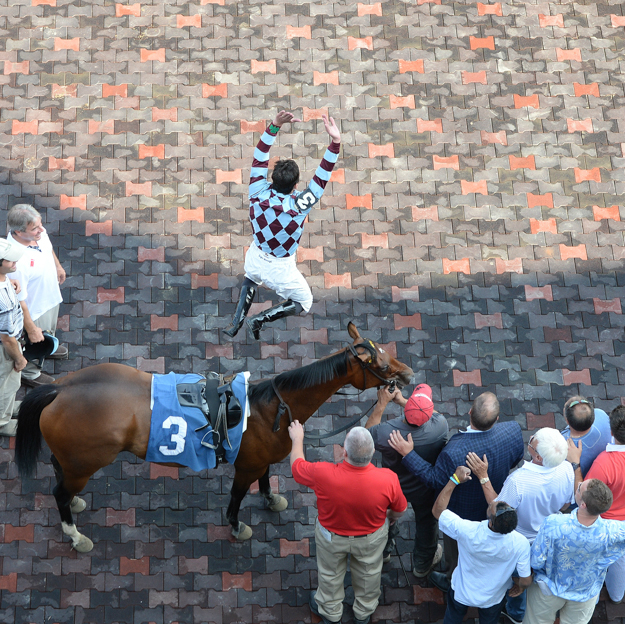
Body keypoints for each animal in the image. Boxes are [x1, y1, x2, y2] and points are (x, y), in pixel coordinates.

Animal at [14, 322, 412, 552]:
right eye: (378, 362)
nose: (407, 374)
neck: (270, 408)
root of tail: (60, 388)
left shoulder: (260, 461)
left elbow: (266, 480)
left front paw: (271, 500)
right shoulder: (245, 465)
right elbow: (237, 496)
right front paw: (237, 526)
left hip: (75, 460)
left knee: (59, 474)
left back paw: (76, 505)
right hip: (86, 462)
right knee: (59, 493)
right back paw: (76, 535)